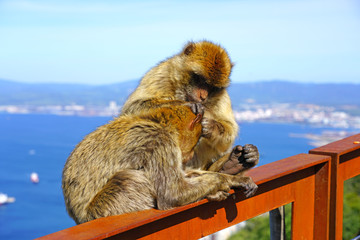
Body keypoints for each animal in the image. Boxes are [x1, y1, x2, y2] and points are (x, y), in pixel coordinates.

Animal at [62, 103, 258, 225]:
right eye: (196, 140)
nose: (190, 153)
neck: (157, 122)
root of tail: (79, 217)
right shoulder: (160, 141)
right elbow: (172, 193)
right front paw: (226, 181)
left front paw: (233, 172)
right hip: (106, 208)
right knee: (129, 179)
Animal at [122, 40, 260, 175]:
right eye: (201, 80)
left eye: (212, 87)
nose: (203, 96)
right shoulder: (160, 74)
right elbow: (133, 107)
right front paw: (186, 104)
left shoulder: (221, 97)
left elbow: (229, 131)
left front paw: (211, 127)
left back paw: (233, 164)